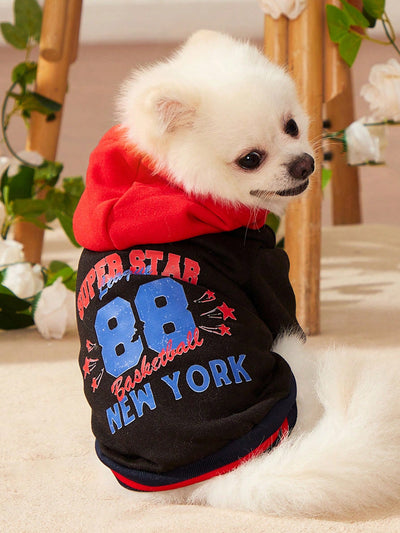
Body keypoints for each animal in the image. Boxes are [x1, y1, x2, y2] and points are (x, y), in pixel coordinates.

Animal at [74, 31, 400, 516]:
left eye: (291, 126)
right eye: (250, 159)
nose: (304, 164)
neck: (162, 181)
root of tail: (215, 480)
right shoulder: (268, 271)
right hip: (291, 370)